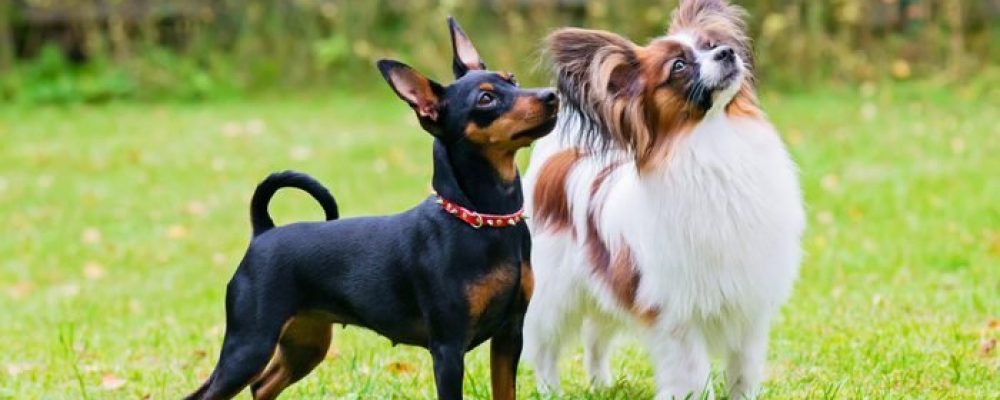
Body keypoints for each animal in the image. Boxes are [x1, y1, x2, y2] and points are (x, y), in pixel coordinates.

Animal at [185, 17, 558, 400]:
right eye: (486, 99)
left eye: (513, 79)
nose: (551, 94)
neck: (483, 219)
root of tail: (263, 232)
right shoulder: (448, 348)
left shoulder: (509, 335)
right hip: (250, 344)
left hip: (306, 343)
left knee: (262, 386)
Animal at [521, 0, 805, 398]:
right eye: (679, 66)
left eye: (711, 44)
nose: (727, 52)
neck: (712, 140)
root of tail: (559, 159)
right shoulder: (678, 318)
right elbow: (694, 376)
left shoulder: (749, 310)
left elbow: (743, 373)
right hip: (553, 295)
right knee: (545, 349)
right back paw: (551, 391)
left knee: (595, 338)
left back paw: (601, 384)